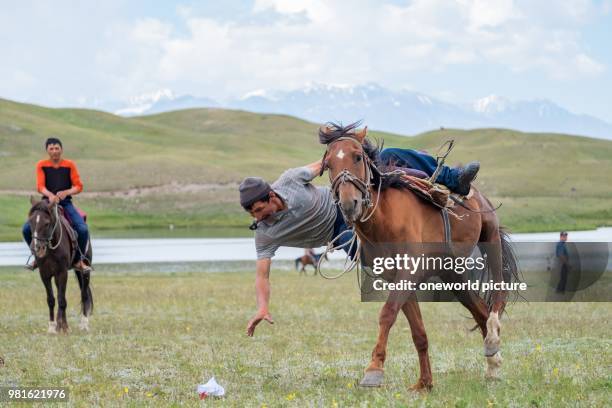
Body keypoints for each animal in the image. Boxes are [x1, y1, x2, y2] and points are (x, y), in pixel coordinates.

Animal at [27, 198, 92, 334]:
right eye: (30, 222)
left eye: (46, 223)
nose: (36, 248)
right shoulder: (44, 274)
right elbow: (51, 300)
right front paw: (52, 327)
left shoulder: (62, 273)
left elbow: (62, 300)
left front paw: (65, 327)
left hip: (85, 271)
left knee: (84, 295)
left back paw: (84, 325)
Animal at [320, 122, 516, 390]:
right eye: (328, 164)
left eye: (357, 157)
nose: (350, 204)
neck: (385, 218)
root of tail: (478, 194)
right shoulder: (398, 278)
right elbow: (418, 332)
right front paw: (424, 383)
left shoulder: (409, 271)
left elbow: (388, 313)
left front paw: (373, 370)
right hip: (451, 273)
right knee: (479, 311)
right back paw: (493, 364)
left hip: (490, 237)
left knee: (498, 292)